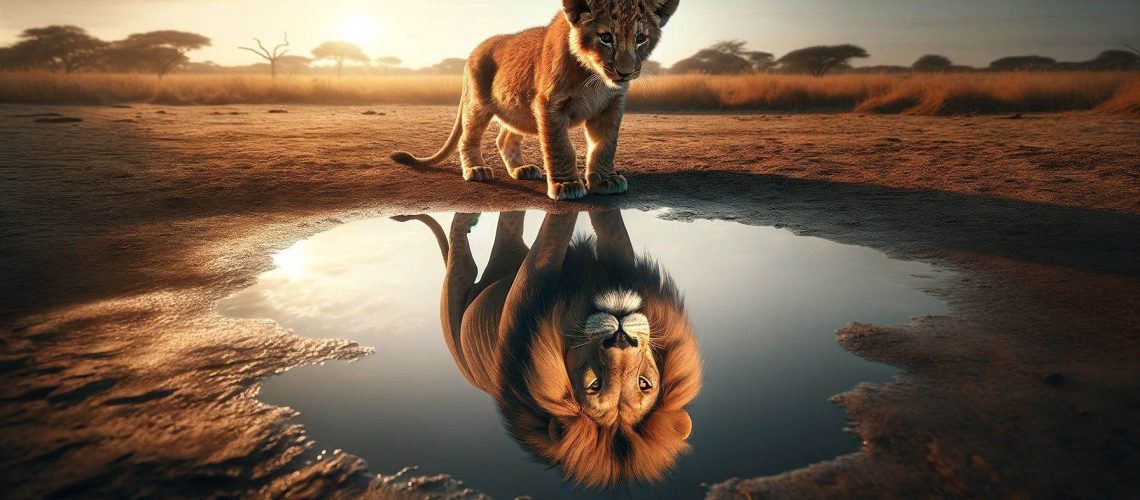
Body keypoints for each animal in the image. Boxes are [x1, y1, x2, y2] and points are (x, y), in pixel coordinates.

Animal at [390, 0, 682, 200]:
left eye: (641, 39)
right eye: (605, 38)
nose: (625, 72)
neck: (594, 78)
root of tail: (473, 51)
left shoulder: (611, 106)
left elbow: (605, 145)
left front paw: (605, 180)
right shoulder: (549, 105)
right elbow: (560, 147)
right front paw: (567, 185)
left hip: (516, 106)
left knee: (504, 138)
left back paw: (522, 170)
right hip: (478, 104)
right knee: (468, 138)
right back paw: (477, 170)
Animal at [397, 210, 702, 487]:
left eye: (643, 384)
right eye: (594, 385)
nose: (621, 337)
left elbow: (575, 227)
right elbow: (588, 225)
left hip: (468, 288)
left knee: (483, 240)